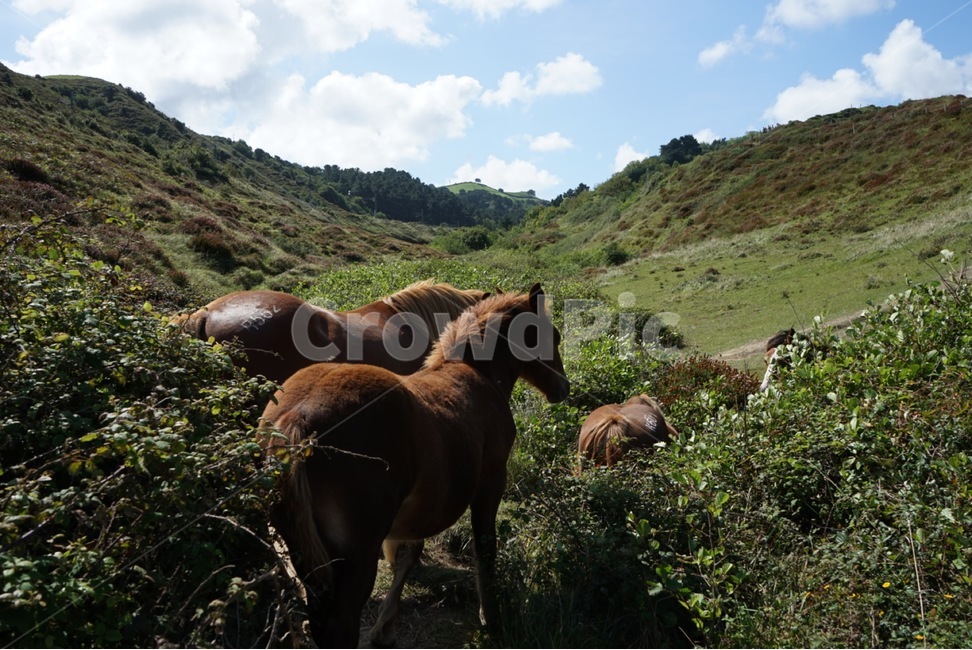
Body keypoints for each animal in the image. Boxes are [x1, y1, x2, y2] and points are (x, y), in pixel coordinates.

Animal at [259, 284, 570, 647]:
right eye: (553, 334)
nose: (563, 388)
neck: (477, 374)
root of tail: (300, 417)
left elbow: (410, 553)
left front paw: (385, 625)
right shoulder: (491, 483)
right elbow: (485, 549)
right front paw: (490, 618)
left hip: (305, 553)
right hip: (356, 560)